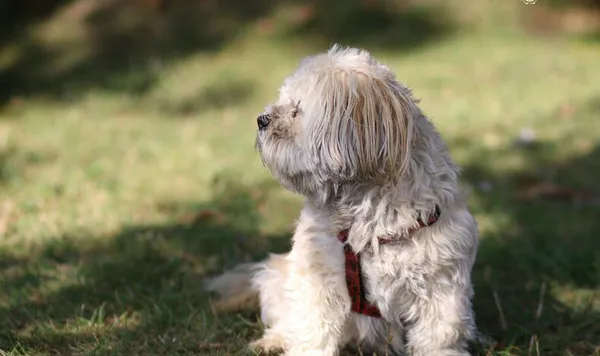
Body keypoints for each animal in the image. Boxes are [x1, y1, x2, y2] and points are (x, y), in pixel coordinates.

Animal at [205, 45, 478, 356]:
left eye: (296, 109)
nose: (262, 119)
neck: (368, 218)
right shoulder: (317, 277)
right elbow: (312, 330)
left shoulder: (441, 287)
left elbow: (439, 337)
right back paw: (272, 341)